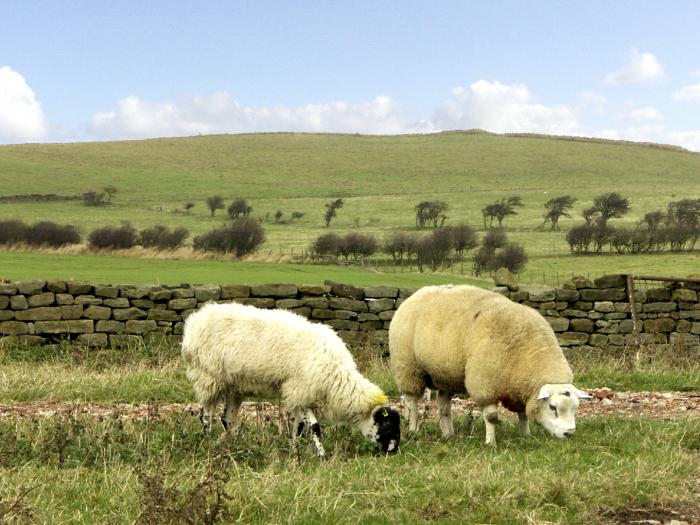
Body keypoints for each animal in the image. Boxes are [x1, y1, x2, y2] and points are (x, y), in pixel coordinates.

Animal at [180, 300, 400, 456]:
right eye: (387, 425)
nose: (394, 452)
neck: (336, 379)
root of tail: (196, 319)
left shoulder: (300, 395)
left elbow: (300, 426)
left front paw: (295, 452)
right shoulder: (300, 389)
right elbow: (314, 427)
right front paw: (322, 456)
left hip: (234, 386)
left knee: (227, 418)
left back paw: (233, 445)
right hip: (208, 377)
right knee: (206, 415)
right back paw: (208, 441)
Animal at [388, 284, 592, 444]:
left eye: (575, 408)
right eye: (552, 407)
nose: (568, 433)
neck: (526, 354)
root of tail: (417, 293)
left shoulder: (519, 388)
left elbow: (523, 414)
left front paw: (525, 435)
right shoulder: (484, 385)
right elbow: (492, 417)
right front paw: (490, 443)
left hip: (445, 373)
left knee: (443, 406)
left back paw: (448, 435)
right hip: (408, 368)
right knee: (412, 402)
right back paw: (413, 430)